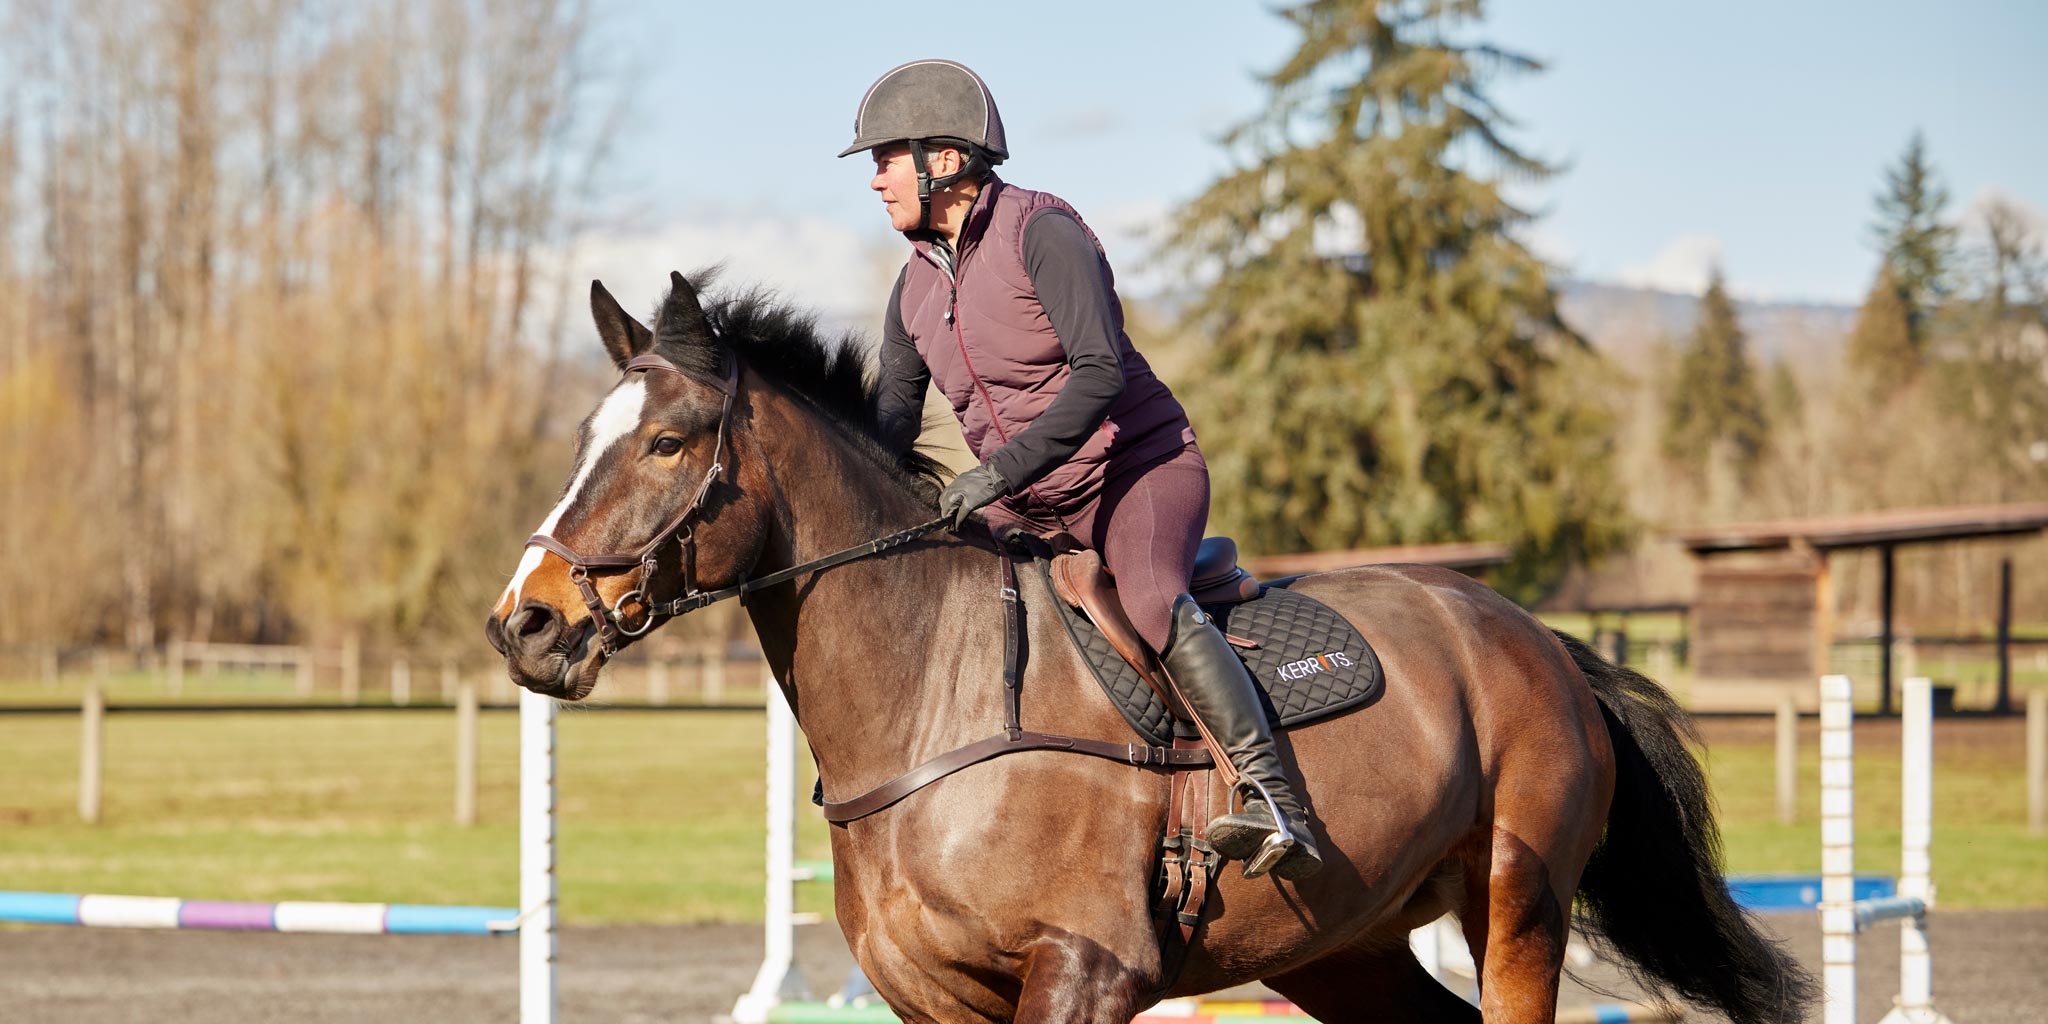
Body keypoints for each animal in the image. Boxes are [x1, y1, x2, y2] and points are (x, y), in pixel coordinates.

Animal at [491, 274, 1810, 1024]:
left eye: (668, 442)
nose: (526, 623)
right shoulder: (938, 998)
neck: (933, 699)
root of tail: (1538, 641)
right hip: (1340, 943)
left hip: (1517, 907)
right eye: (584, 431)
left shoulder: (1083, 969)